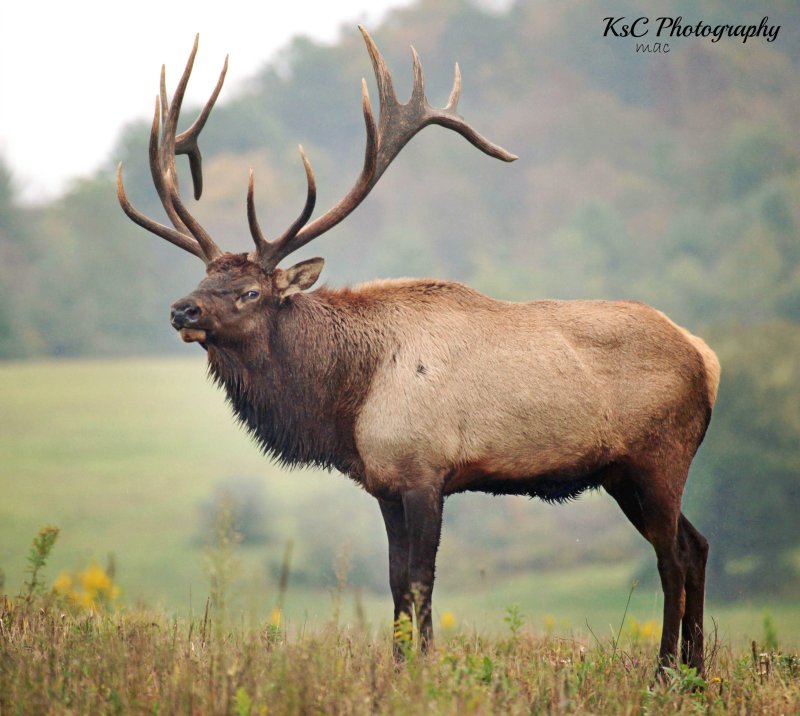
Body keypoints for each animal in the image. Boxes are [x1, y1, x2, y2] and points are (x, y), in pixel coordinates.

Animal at [117, 28, 720, 676]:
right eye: (206, 278)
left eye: (250, 292)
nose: (182, 311)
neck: (348, 403)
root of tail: (708, 359)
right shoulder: (385, 484)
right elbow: (393, 582)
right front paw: (402, 665)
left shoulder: (426, 470)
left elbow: (419, 580)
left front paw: (425, 669)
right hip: (623, 472)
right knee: (697, 544)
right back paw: (696, 670)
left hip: (659, 456)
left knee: (671, 556)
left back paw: (665, 670)